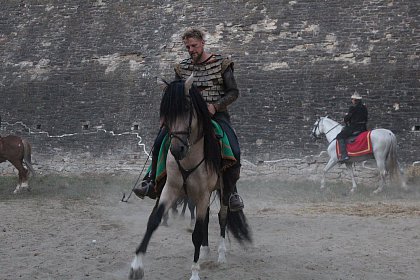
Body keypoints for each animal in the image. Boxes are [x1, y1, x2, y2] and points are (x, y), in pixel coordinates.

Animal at [128, 74, 251, 280]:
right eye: (166, 111)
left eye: (186, 108)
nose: (178, 149)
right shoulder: (171, 189)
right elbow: (153, 221)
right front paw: (136, 266)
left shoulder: (202, 194)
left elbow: (197, 233)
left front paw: (194, 272)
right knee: (207, 218)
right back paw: (205, 251)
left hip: (224, 191)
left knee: (222, 217)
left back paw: (221, 254)